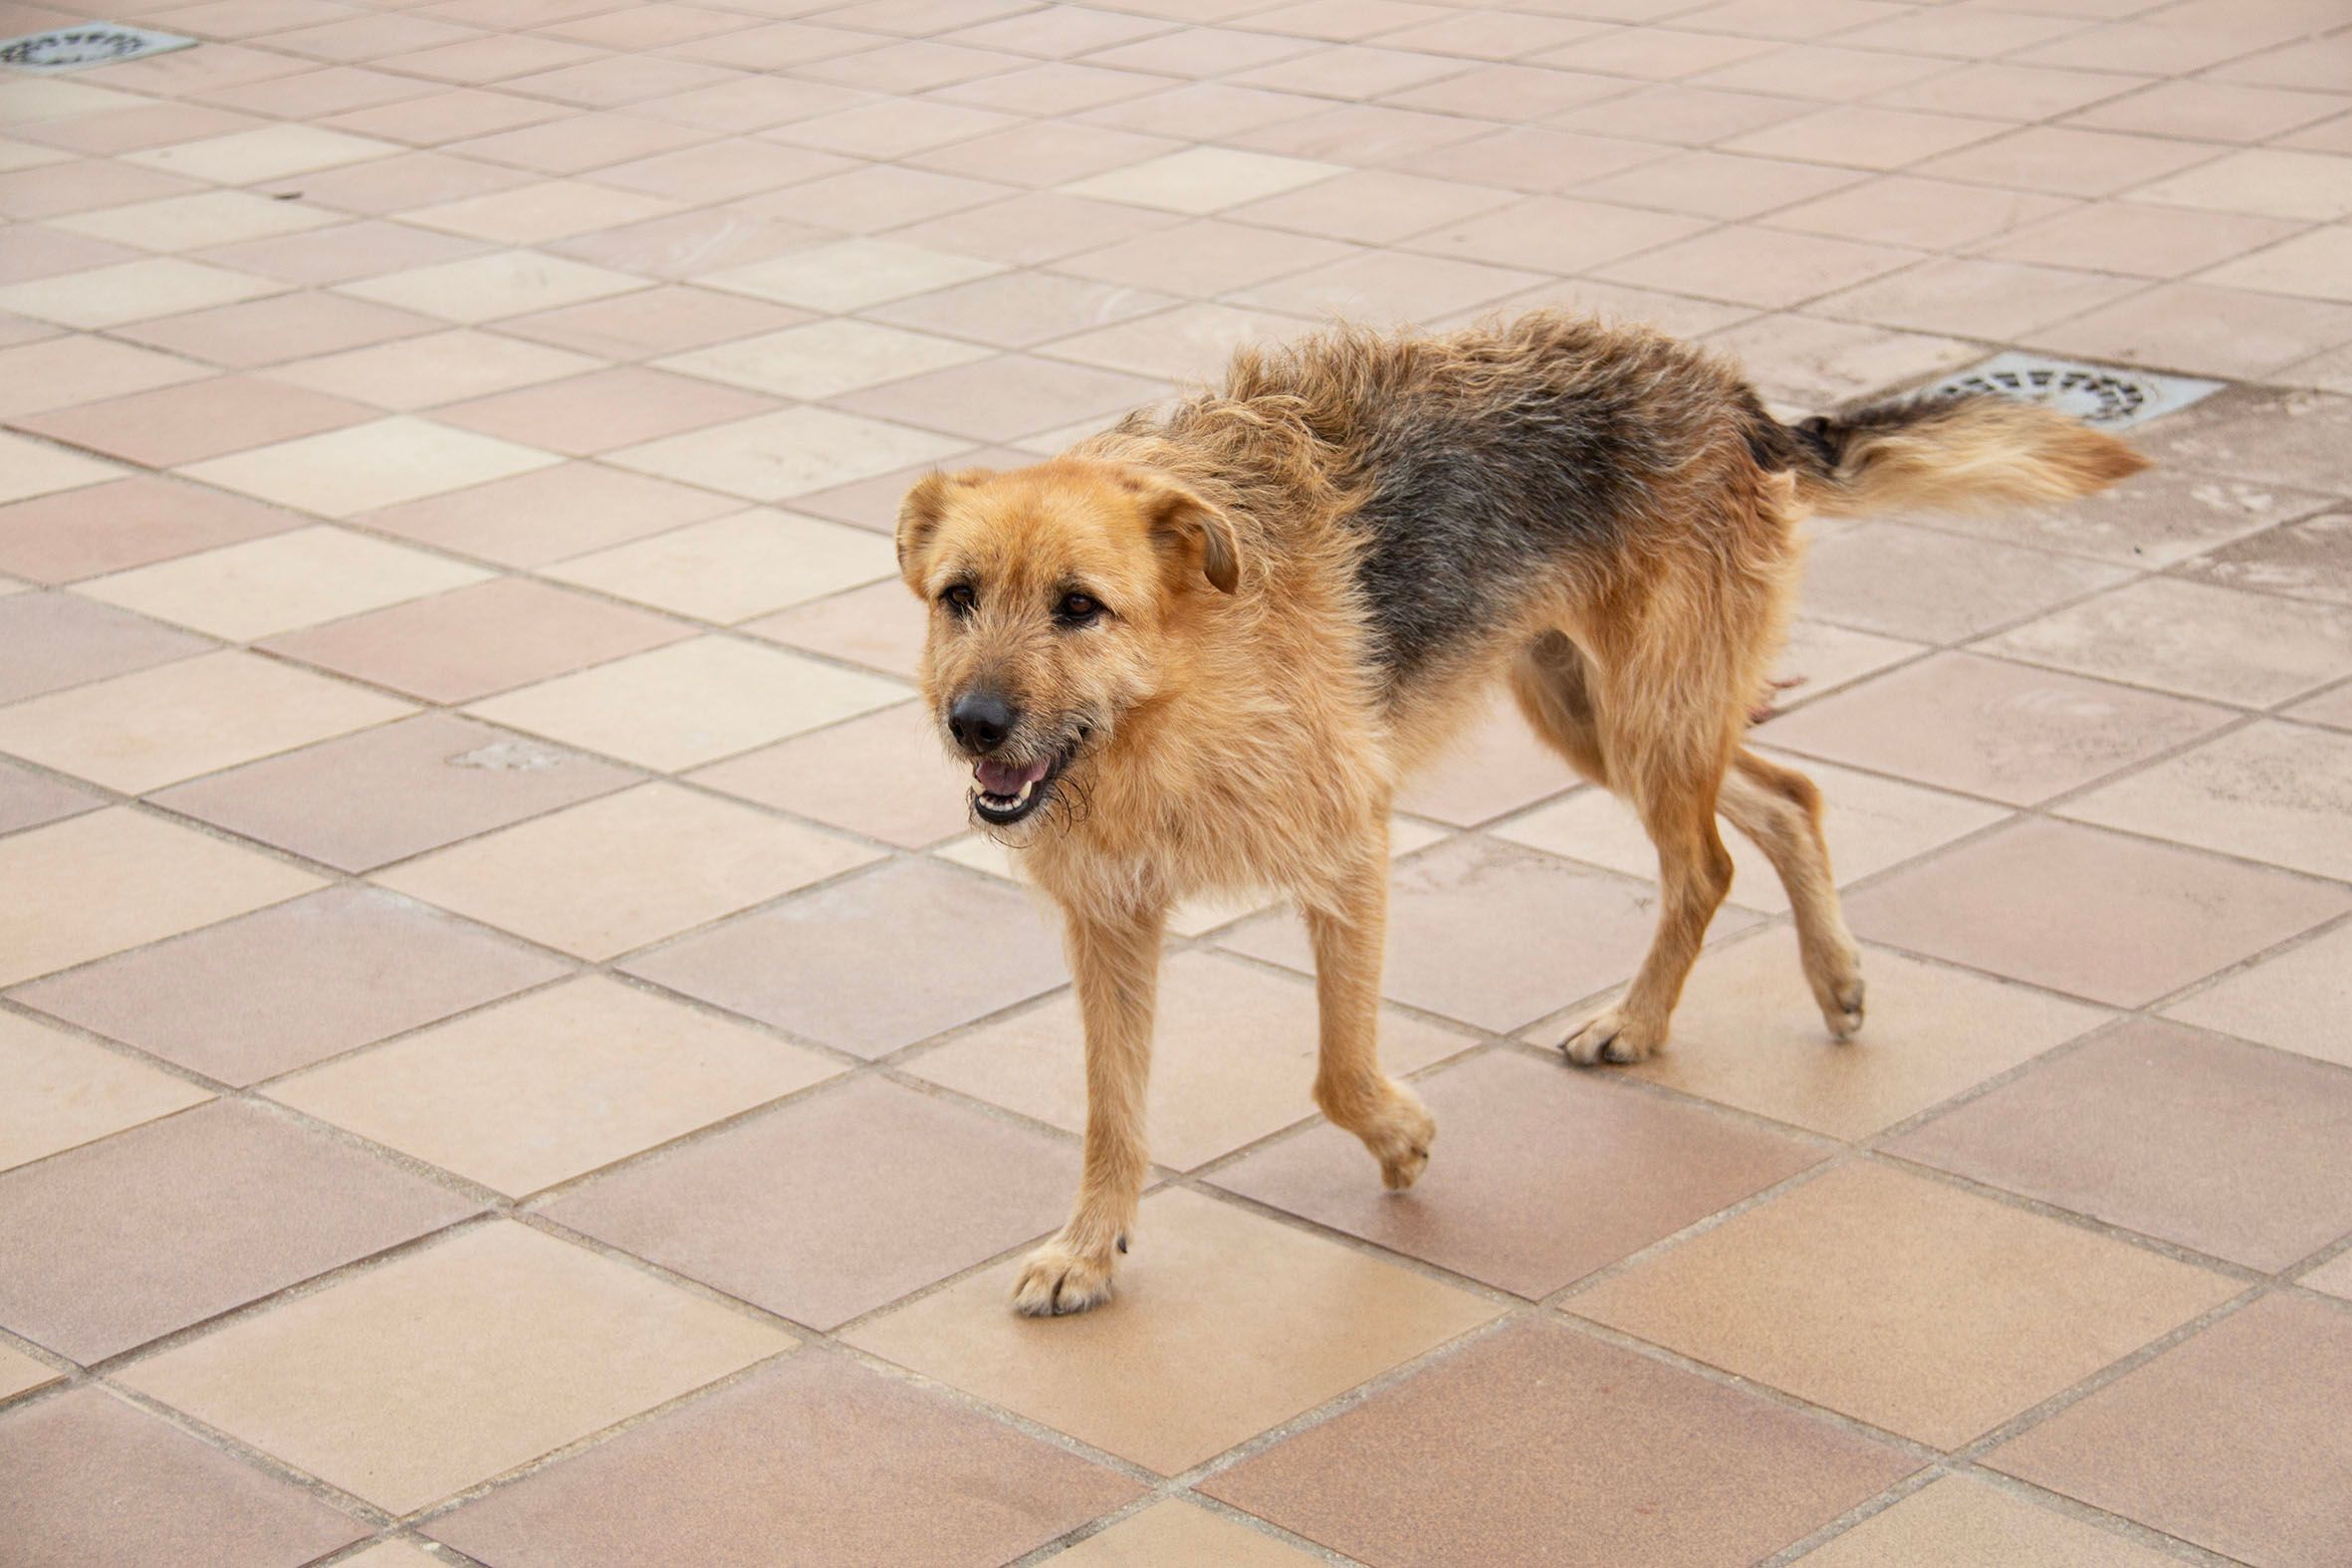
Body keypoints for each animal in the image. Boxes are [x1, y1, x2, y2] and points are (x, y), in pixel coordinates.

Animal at [895, 310, 2145, 1316]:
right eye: (959, 597)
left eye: (1078, 608)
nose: (974, 725)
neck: (1173, 694)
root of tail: (1730, 395)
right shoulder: (1111, 921)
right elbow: (1111, 1110)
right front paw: (1089, 1248)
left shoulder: (1350, 852)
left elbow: (1337, 1067)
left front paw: (1399, 1138)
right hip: (1598, 714)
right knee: (1788, 799)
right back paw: (1826, 978)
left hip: (1647, 720)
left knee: (1709, 864)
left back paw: (1641, 1023)